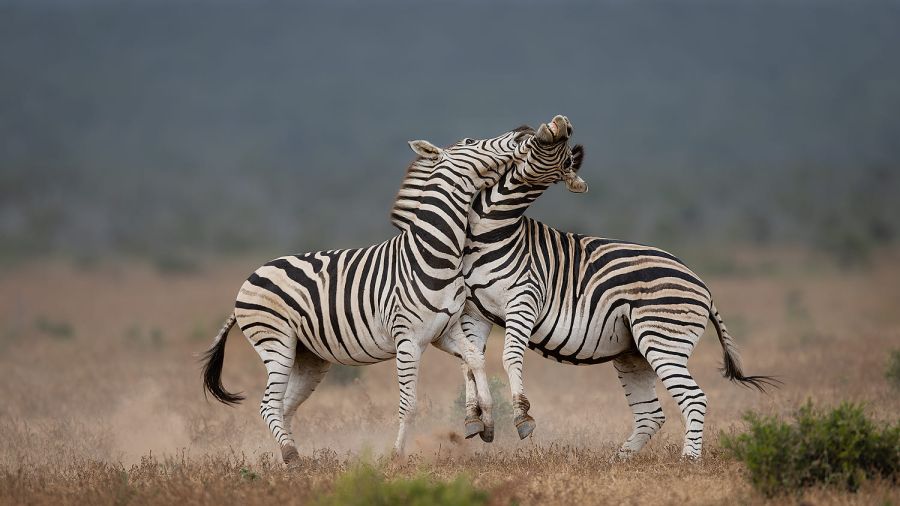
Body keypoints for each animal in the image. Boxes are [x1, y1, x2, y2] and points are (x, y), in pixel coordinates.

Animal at [201, 119, 572, 462]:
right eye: (469, 141)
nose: (523, 130)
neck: (434, 252)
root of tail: (251, 276)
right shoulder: (407, 340)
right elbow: (409, 405)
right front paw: (396, 456)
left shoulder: (445, 332)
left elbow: (476, 360)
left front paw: (487, 423)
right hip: (275, 342)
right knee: (268, 405)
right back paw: (292, 458)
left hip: (308, 356)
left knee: (284, 406)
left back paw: (293, 456)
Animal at [390, 114, 776, 458]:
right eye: (534, 143)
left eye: (560, 158)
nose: (560, 124)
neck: (487, 232)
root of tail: (703, 287)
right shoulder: (475, 312)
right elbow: (471, 360)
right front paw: (476, 419)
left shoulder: (524, 301)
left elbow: (509, 355)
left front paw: (521, 415)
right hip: (633, 354)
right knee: (651, 414)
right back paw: (620, 459)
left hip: (662, 339)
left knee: (694, 398)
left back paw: (688, 461)